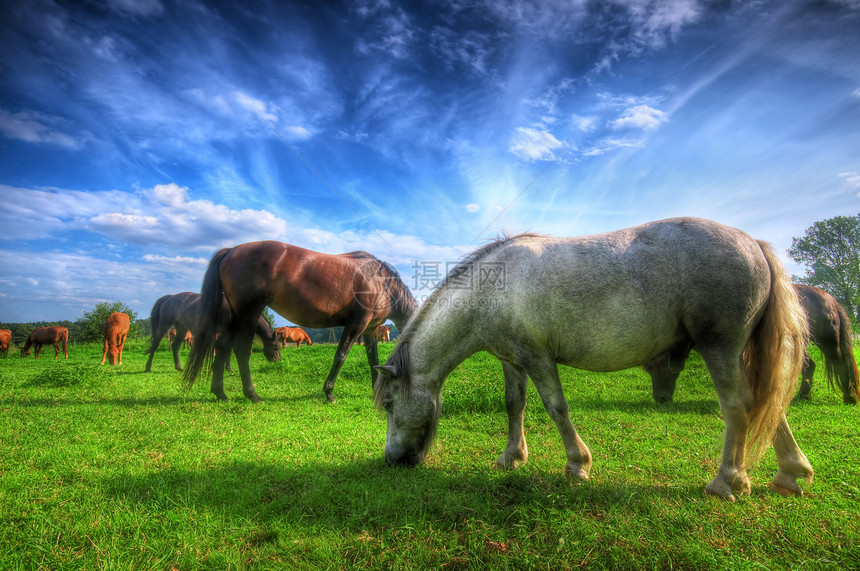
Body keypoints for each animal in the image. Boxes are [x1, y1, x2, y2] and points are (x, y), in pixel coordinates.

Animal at [144, 290, 278, 376]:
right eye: (276, 346)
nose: (277, 360)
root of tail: (170, 297)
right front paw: (218, 367)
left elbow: (228, 351)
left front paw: (227, 368)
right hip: (164, 325)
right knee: (155, 345)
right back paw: (148, 367)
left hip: (181, 328)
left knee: (176, 346)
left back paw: (179, 367)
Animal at [186, 241, 418, 402]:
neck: (381, 283)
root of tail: (231, 251)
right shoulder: (356, 325)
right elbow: (340, 356)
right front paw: (329, 393)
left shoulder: (370, 330)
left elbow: (373, 360)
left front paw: (375, 390)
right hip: (248, 313)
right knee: (242, 350)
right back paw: (252, 395)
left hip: (235, 316)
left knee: (222, 346)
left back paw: (220, 393)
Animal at [374, 219, 812, 500]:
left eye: (390, 404)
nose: (392, 461)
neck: (492, 288)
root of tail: (754, 243)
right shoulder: (512, 360)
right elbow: (515, 405)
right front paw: (511, 457)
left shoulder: (537, 357)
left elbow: (556, 407)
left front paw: (577, 465)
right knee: (767, 405)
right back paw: (790, 472)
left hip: (720, 347)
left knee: (738, 407)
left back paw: (726, 482)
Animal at [644, 284, 860, 404]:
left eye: (657, 368)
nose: (660, 399)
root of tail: (830, 299)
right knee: (811, 365)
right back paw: (803, 396)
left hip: (827, 342)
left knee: (840, 364)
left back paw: (848, 396)